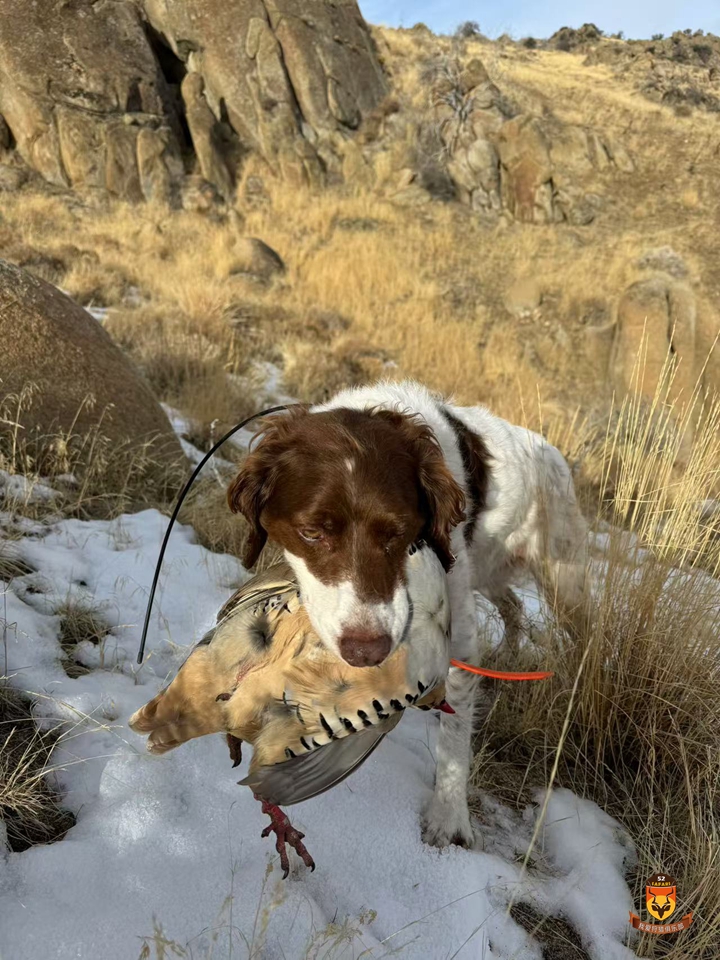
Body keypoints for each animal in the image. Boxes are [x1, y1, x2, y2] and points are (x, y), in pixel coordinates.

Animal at [228, 378, 588, 844]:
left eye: (399, 532)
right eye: (311, 533)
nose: (366, 651)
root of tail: (554, 451)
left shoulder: (459, 632)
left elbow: (456, 734)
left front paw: (448, 817)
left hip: (563, 577)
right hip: (491, 572)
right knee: (512, 606)